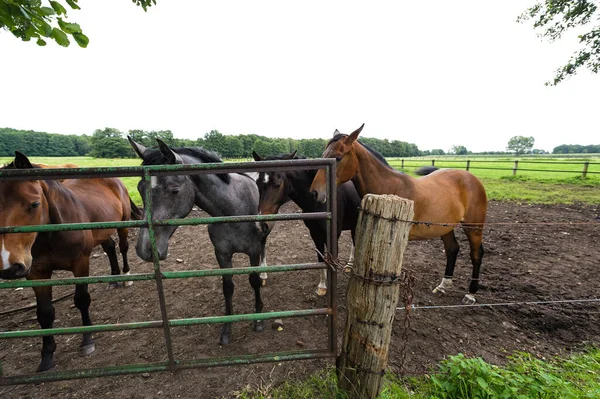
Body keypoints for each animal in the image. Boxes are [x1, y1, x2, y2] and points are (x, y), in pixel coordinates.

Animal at [127, 138, 266, 346]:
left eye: (174, 190)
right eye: (139, 189)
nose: (144, 249)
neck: (233, 209)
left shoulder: (254, 251)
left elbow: (254, 281)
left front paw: (258, 319)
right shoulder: (222, 254)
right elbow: (228, 287)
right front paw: (227, 329)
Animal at [251, 152, 358, 296]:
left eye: (278, 184)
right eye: (257, 183)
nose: (261, 225)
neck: (321, 200)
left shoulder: (333, 234)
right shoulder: (315, 233)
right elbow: (321, 258)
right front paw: (322, 286)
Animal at [310, 123, 488, 304]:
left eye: (338, 158)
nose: (315, 193)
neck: (390, 189)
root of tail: (472, 178)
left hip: (473, 227)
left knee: (476, 254)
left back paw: (471, 294)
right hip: (445, 227)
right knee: (452, 249)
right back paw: (443, 286)